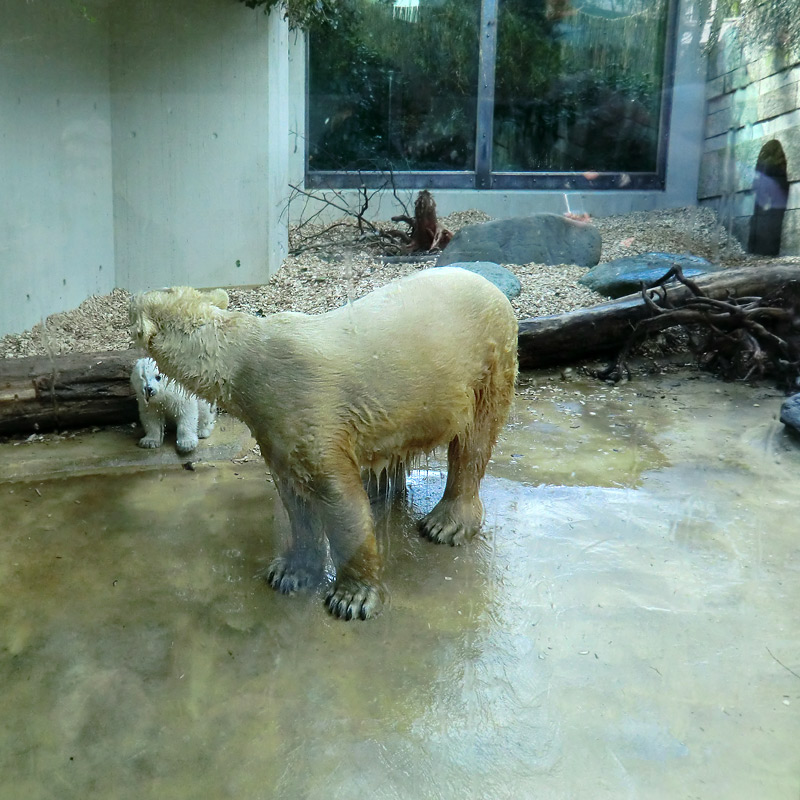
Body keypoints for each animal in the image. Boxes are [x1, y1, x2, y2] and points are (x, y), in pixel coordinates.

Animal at [130, 268, 520, 620]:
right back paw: (381, 488)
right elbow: (293, 495)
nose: (132, 296)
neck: (246, 362)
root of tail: (494, 289)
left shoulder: (307, 405)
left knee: (473, 442)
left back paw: (445, 523)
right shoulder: (273, 426)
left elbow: (338, 496)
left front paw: (352, 598)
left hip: (488, 361)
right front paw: (290, 572)